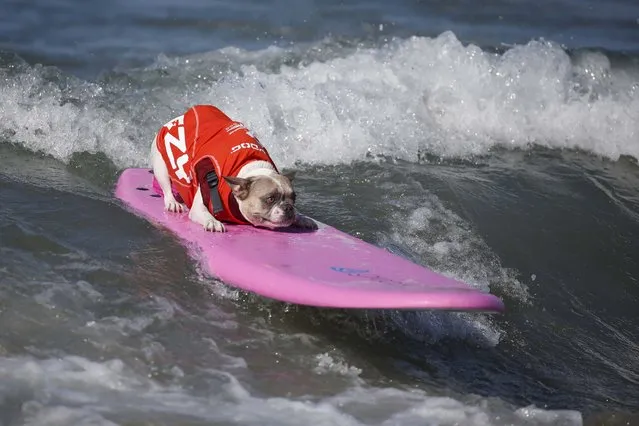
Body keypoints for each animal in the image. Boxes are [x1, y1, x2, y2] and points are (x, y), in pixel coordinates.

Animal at [151, 104, 320, 233]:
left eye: (294, 198)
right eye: (270, 198)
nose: (288, 208)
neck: (249, 166)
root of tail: (177, 118)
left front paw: (302, 217)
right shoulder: (199, 205)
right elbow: (203, 212)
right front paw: (212, 222)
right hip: (161, 165)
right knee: (166, 187)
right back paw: (173, 203)